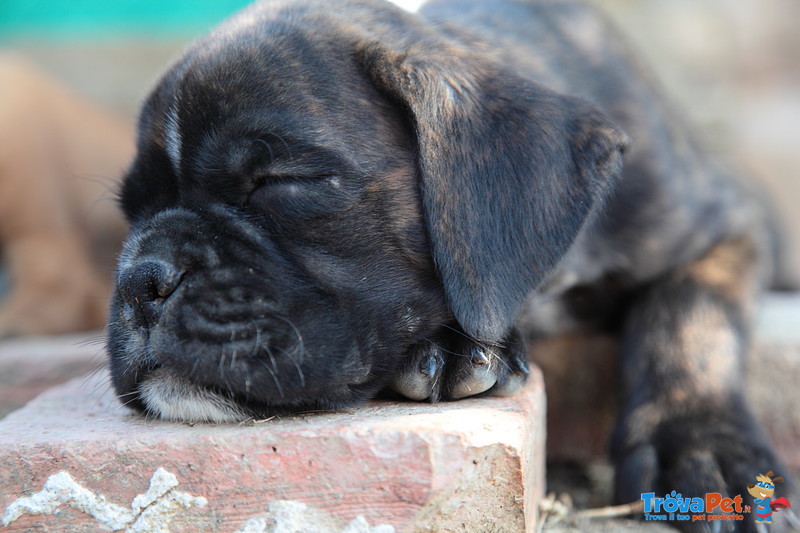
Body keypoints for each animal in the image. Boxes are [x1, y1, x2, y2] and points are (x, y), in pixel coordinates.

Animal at [108, 0, 792, 524]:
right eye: (131, 210)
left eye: (279, 181)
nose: (142, 280)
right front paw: (452, 347)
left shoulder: (724, 228)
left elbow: (690, 318)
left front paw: (699, 445)